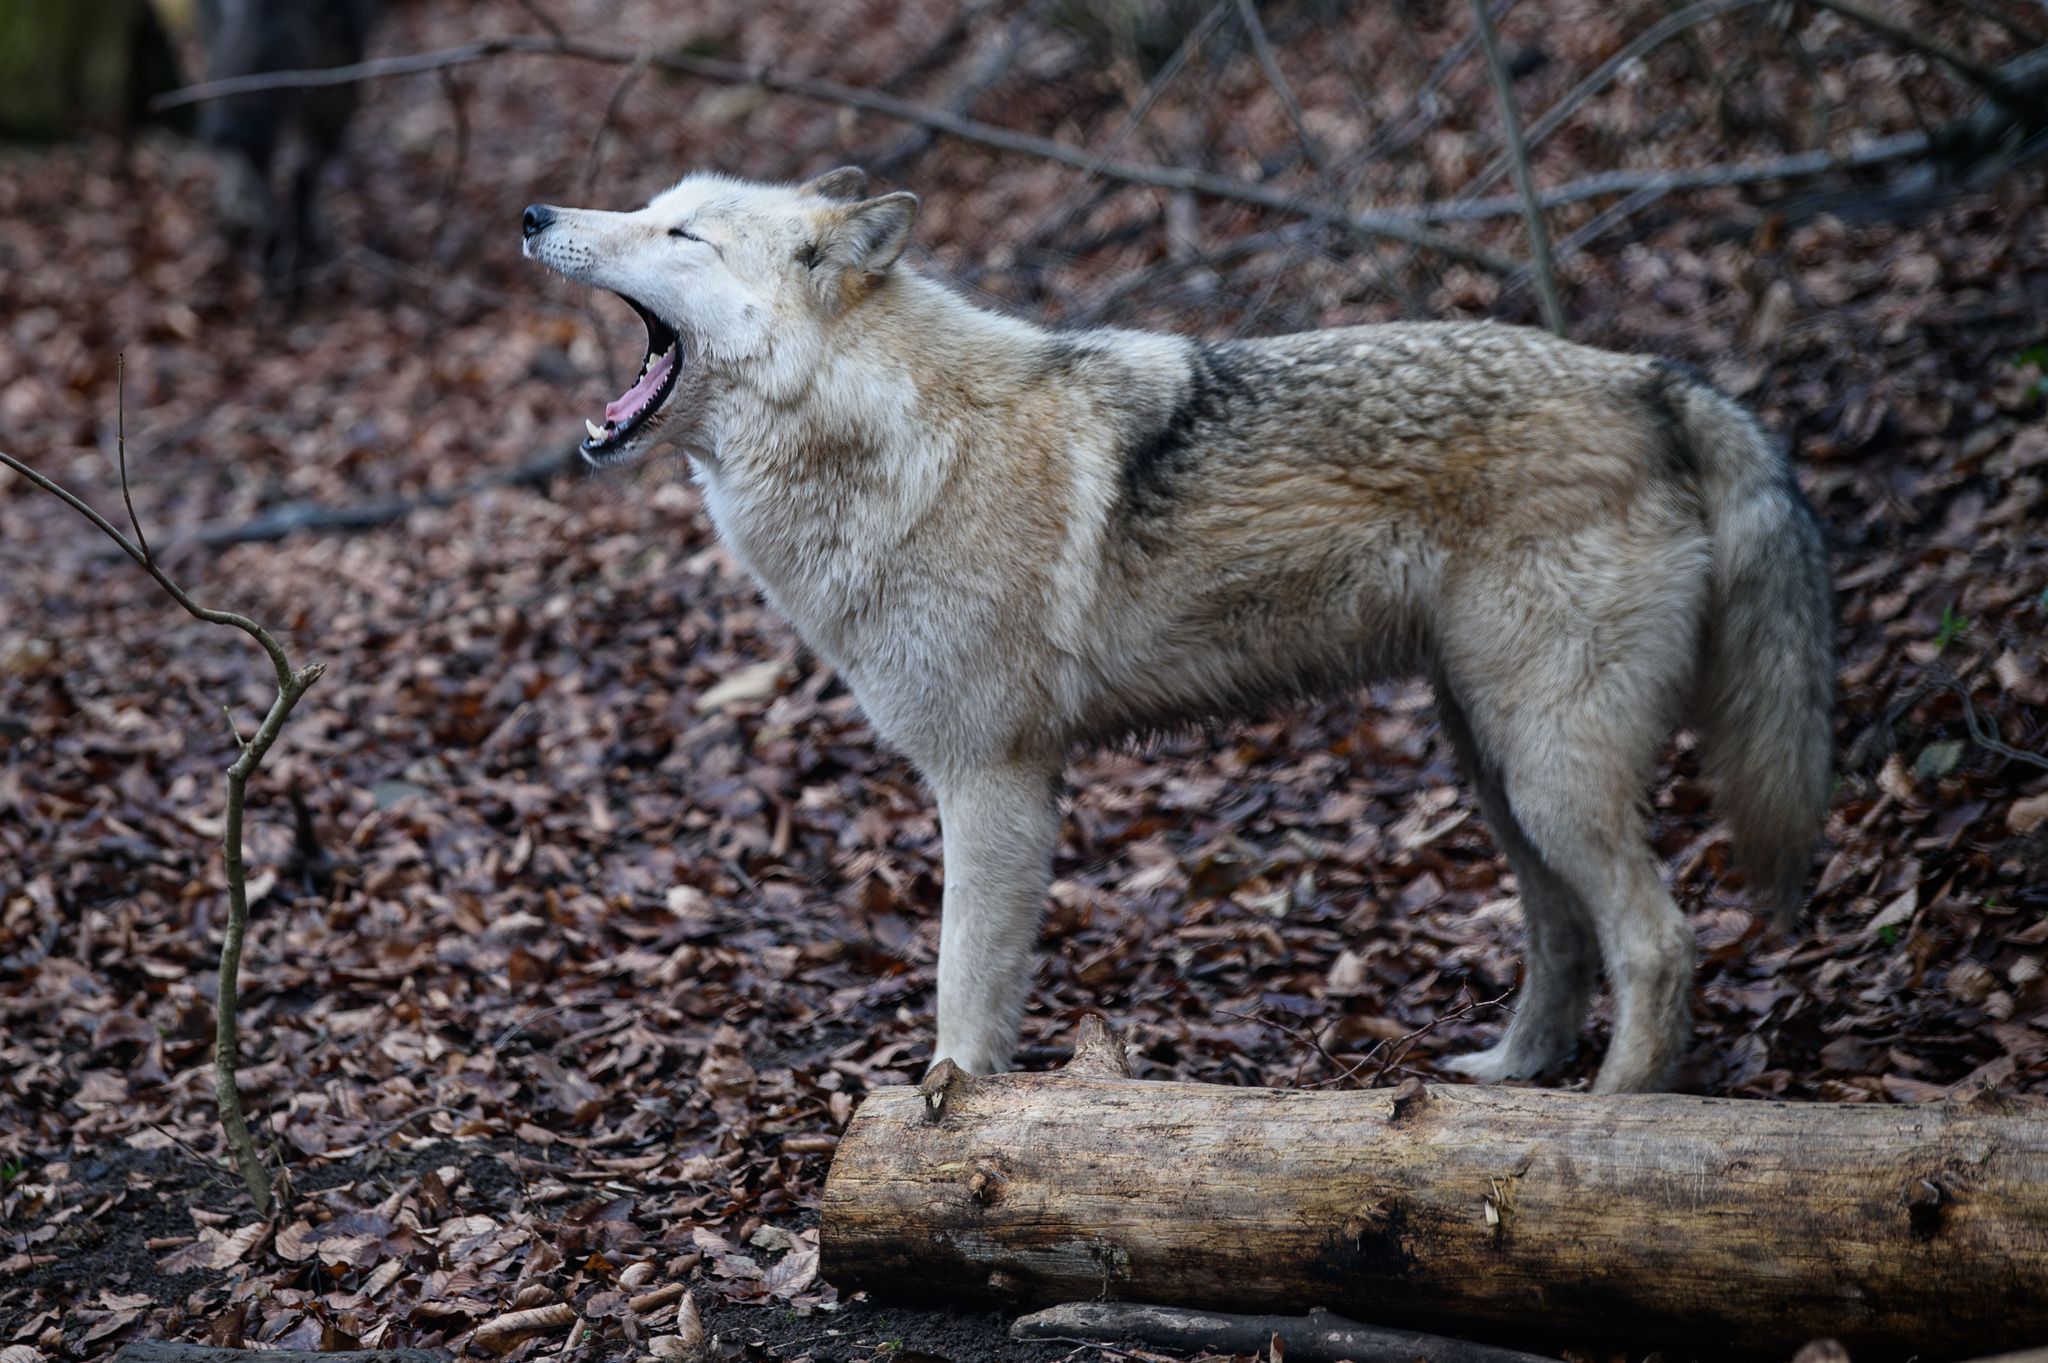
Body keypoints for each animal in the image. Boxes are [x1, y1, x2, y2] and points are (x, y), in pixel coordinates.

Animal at [521, 168, 1834, 1093]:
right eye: (649, 208)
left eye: (683, 237)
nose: (533, 213)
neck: (891, 434)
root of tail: (1655, 380)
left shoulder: (993, 781)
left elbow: (960, 992)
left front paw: (940, 1126)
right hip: (1496, 764)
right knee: (1562, 935)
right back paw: (1510, 1079)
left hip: (1549, 766)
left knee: (1659, 942)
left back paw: (1607, 1120)